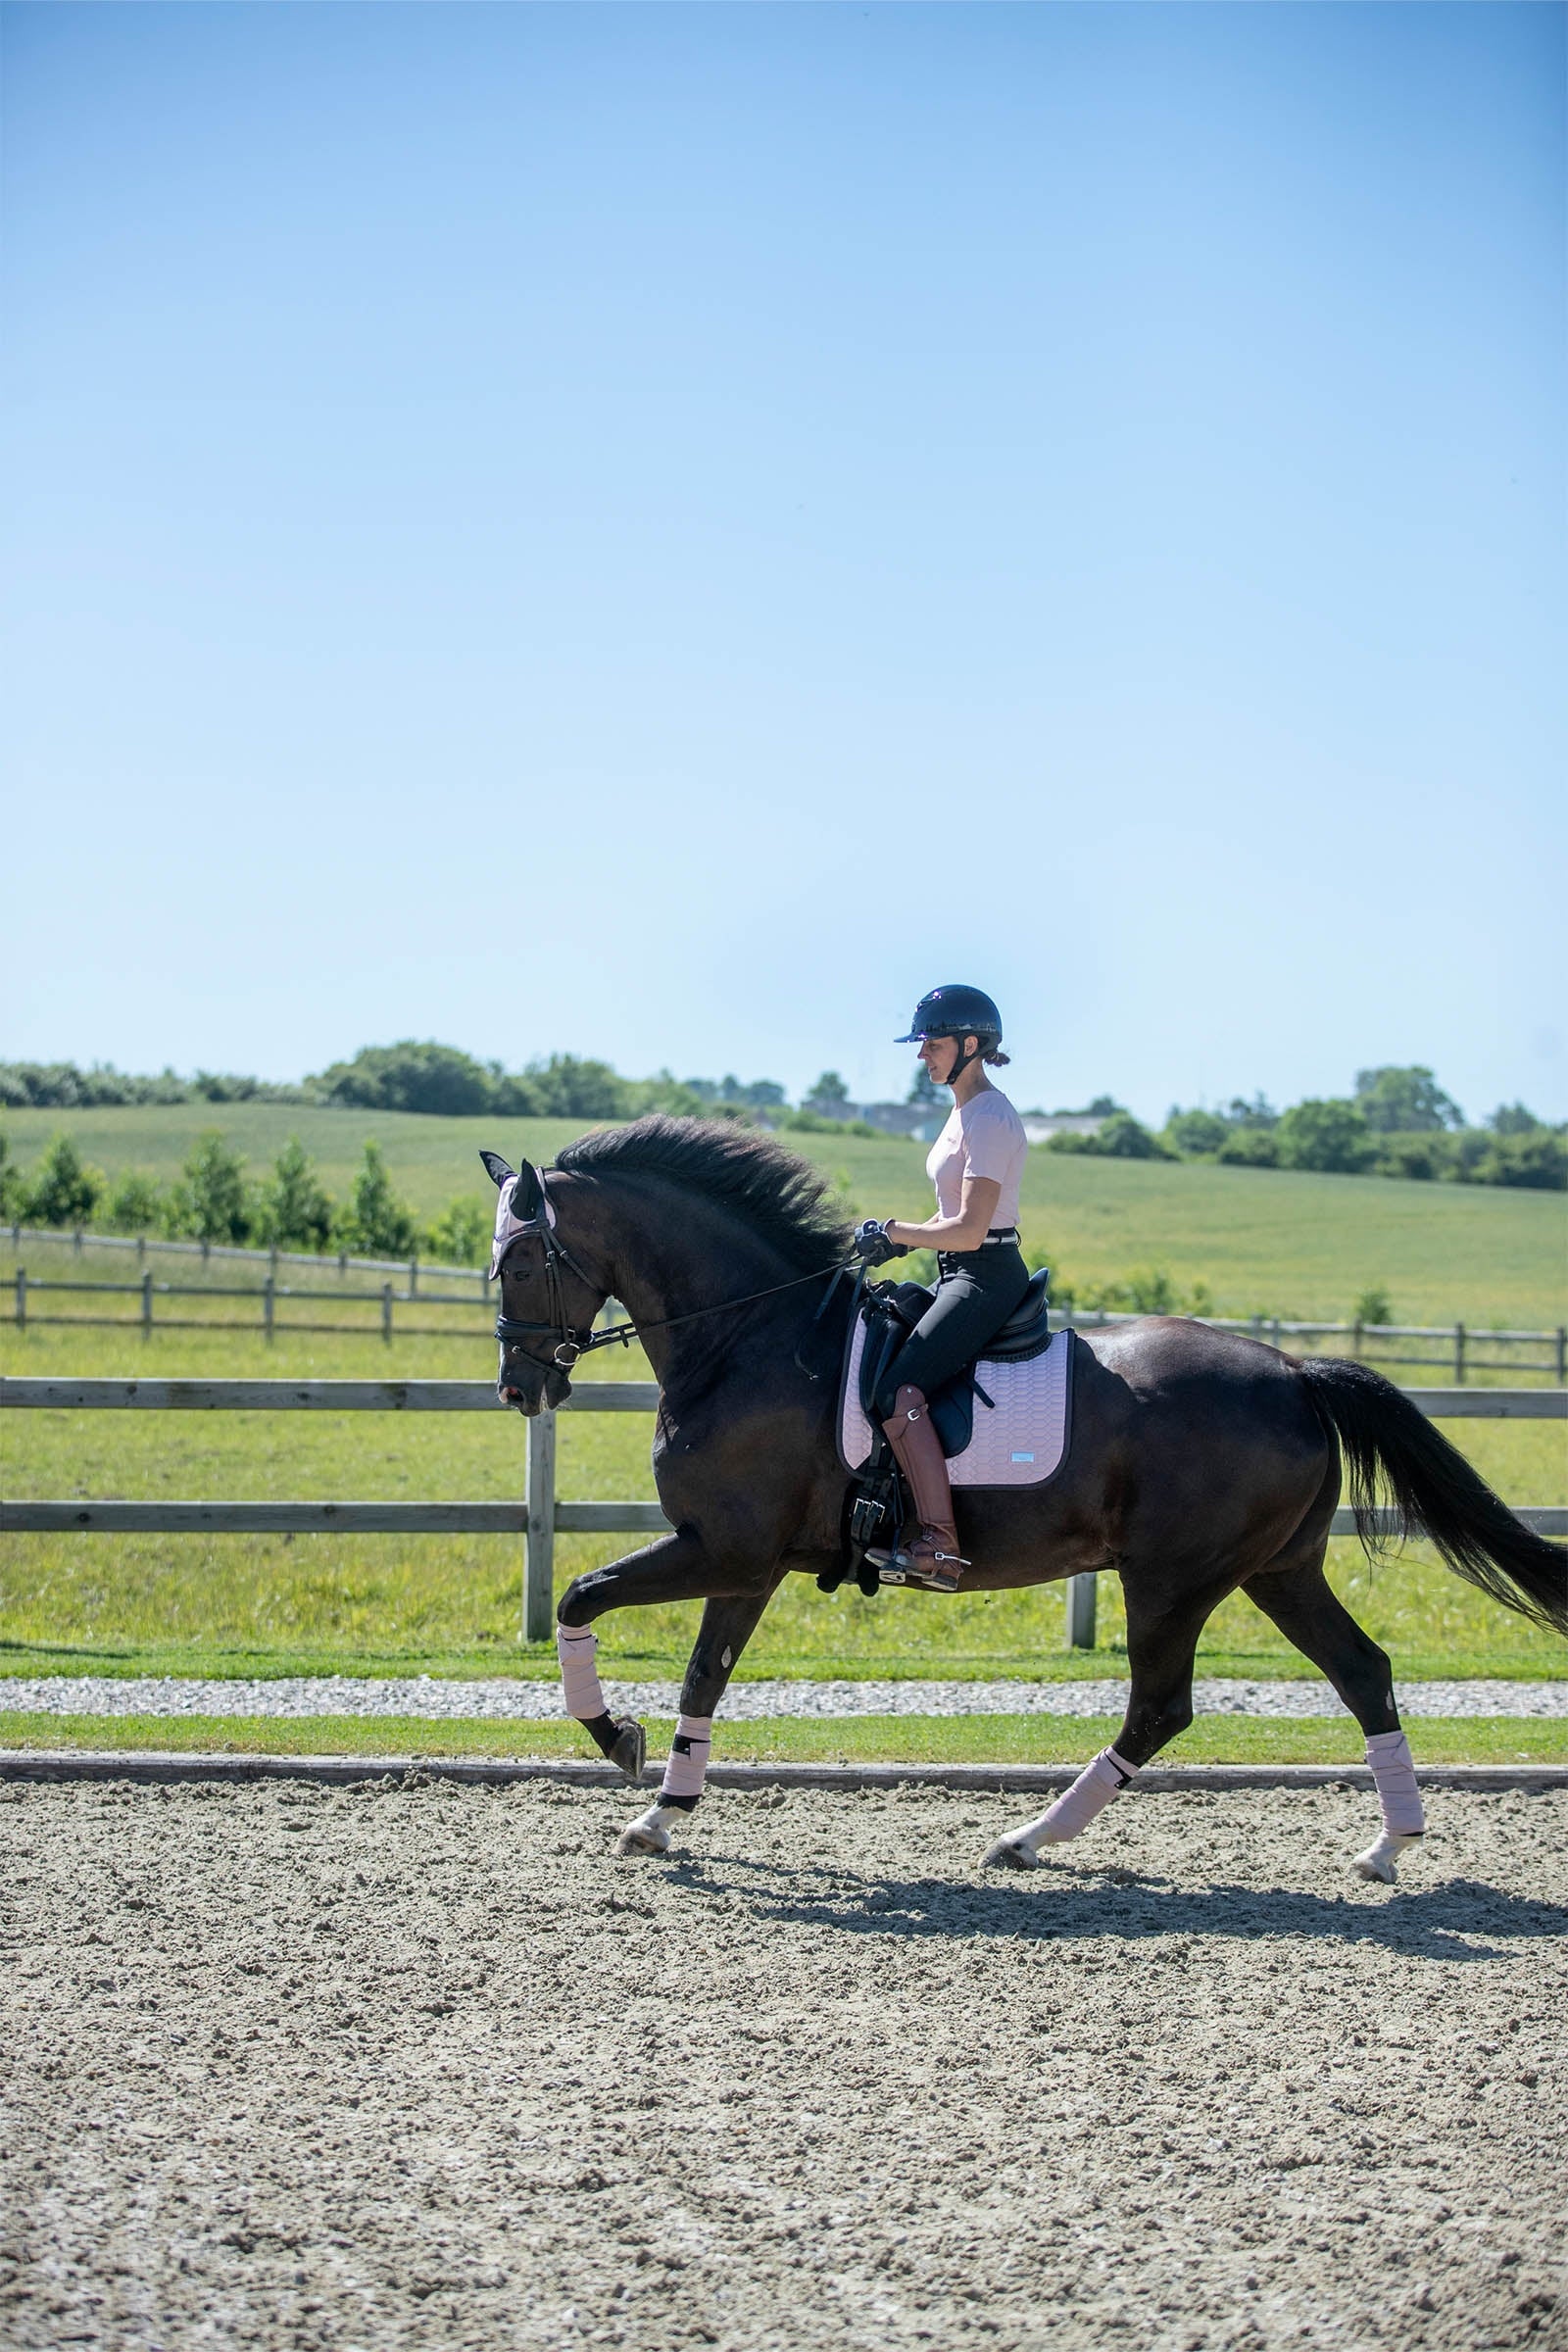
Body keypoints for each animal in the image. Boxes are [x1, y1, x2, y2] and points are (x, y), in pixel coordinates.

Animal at [485, 1118, 1565, 1878]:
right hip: (1278, 1570)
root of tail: (1296, 1372)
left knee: (1160, 1708)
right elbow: (702, 1680)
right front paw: (660, 1814)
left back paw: (1028, 1839)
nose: (519, 1390)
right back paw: (1390, 1846)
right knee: (1362, 1672)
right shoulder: (745, 1563)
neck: (752, 1337)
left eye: (523, 1260)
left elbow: (581, 1597)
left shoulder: (724, 1547)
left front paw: (617, 1743)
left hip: (1174, 1578)